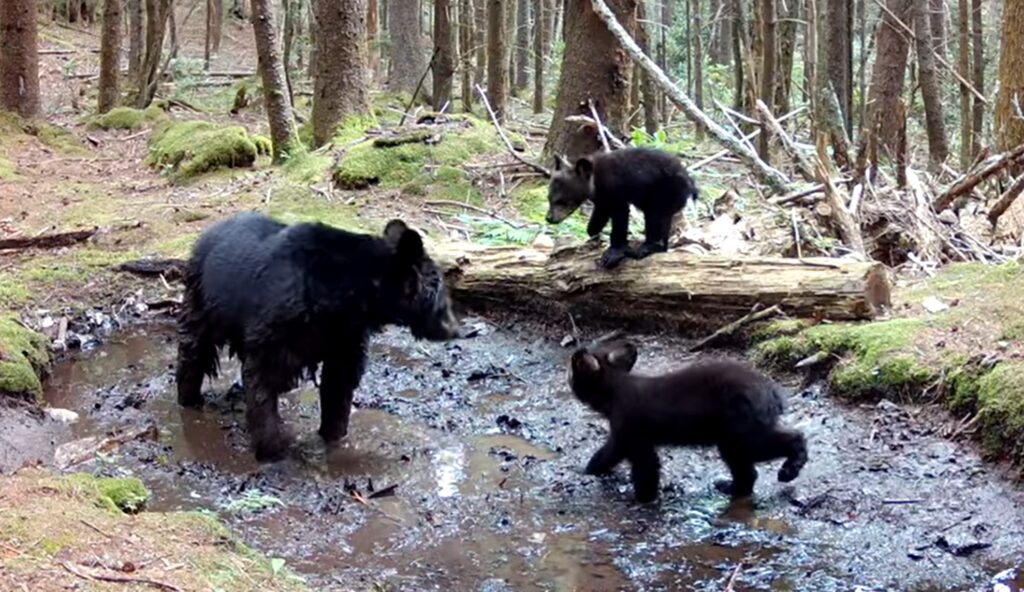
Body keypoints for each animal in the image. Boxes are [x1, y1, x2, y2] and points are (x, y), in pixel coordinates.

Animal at [175, 212, 460, 461]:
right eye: (442, 296)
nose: (457, 329)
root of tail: (205, 234)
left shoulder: (345, 336)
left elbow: (338, 385)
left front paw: (334, 436)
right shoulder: (276, 328)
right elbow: (262, 381)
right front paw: (272, 450)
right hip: (202, 299)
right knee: (194, 347)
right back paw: (189, 397)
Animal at [545, 147, 699, 270]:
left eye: (562, 201)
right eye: (549, 199)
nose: (549, 218)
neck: (595, 181)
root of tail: (690, 183)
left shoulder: (616, 189)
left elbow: (620, 216)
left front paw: (612, 254)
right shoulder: (603, 198)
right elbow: (600, 214)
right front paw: (593, 233)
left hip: (664, 192)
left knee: (655, 217)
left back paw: (643, 249)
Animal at [567, 338, 807, 503]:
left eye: (572, 373)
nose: (567, 378)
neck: (615, 390)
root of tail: (772, 392)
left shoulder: (631, 433)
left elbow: (644, 469)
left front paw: (643, 499)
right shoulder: (626, 437)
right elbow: (608, 455)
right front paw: (590, 470)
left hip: (740, 433)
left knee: (791, 438)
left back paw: (791, 467)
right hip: (734, 437)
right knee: (749, 473)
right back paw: (730, 487)